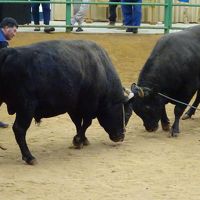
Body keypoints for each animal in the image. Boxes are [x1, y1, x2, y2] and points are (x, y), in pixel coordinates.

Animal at [0, 39, 134, 165]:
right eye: (127, 114)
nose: (121, 137)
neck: (102, 69)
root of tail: (7, 53)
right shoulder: (89, 105)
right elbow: (86, 123)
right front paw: (78, 140)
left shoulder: (73, 106)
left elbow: (78, 123)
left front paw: (82, 139)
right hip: (26, 107)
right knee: (19, 129)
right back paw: (29, 157)